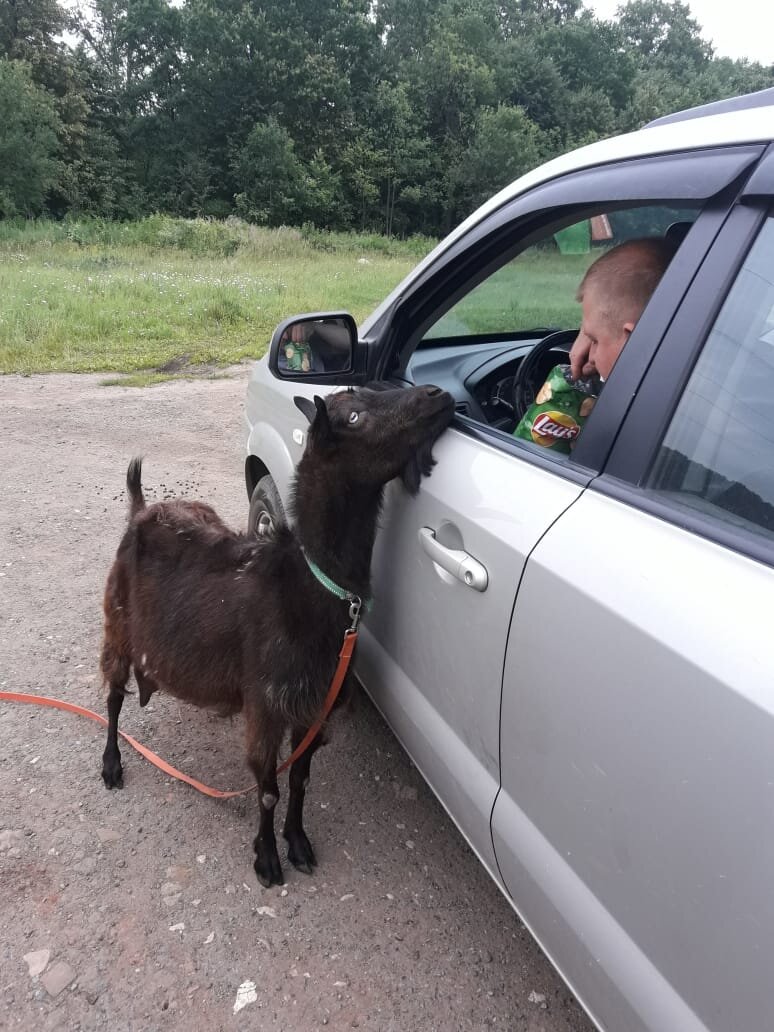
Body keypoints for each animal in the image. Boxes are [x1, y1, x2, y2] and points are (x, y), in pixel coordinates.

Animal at [100, 388, 458, 887]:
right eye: (354, 416)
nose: (437, 395)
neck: (310, 585)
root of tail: (142, 508)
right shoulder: (268, 702)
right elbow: (267, 789)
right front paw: (267, 859)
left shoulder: (314, 704)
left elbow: (299, 779)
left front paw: (299, 842)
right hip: (117, 623)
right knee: (113, 696)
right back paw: (111, 764)